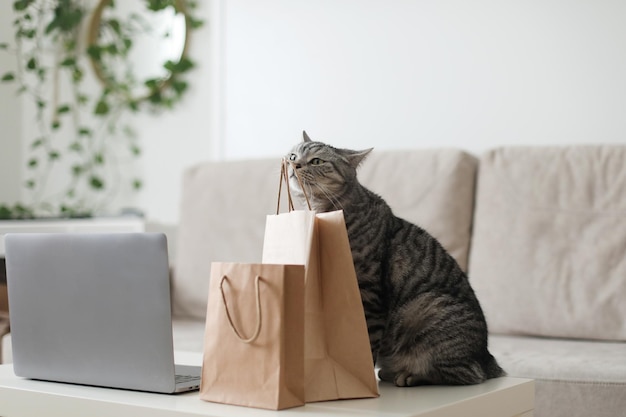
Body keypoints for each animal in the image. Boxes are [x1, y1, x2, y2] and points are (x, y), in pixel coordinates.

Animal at [286, 132, 504, 386]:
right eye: (293, 155)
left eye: (317, 161)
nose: (294, 165)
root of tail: (487, 358)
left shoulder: (369, 295)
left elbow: (367, 342)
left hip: (428, 307)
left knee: (465, 374)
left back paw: (408, 376)